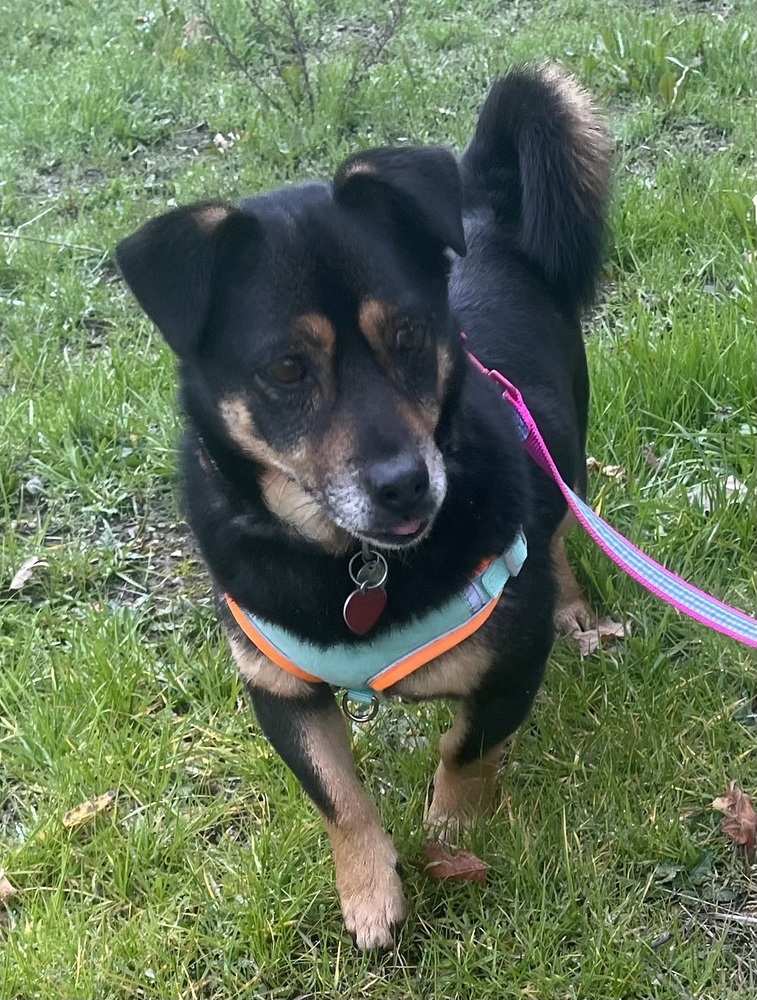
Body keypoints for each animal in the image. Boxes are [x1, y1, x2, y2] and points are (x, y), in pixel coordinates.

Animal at [115, 66, 612, 948]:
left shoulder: (511, 665)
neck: (351, 558)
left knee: (556, 526)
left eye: (409, 334)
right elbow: (336, 796)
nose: (405, 483)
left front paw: (451, 832)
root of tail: (483, 215)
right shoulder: (278, 690)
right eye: (286, 367)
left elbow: (464, 748)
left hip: (563, 453)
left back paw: (573, 604)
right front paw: (369, 889)